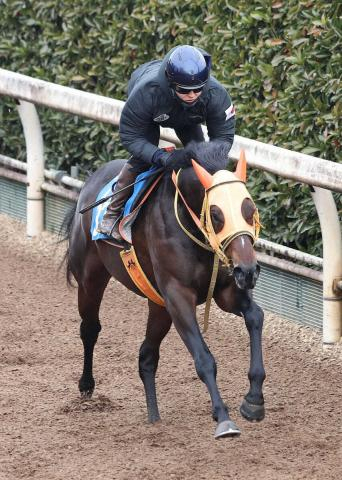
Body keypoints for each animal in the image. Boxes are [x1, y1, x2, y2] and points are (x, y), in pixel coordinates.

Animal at [65, 142, 268, 438]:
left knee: (146, 355)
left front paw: (253, 400)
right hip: (91, 279)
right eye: (216, 214)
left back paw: (154, 416)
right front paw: (223, 418)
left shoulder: (226, 291)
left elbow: (255, 316)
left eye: (249, 209)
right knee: (90, 328)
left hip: (157, 305)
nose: (249, 269)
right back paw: (86, 385)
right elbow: (204, 358)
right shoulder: (178, 296)